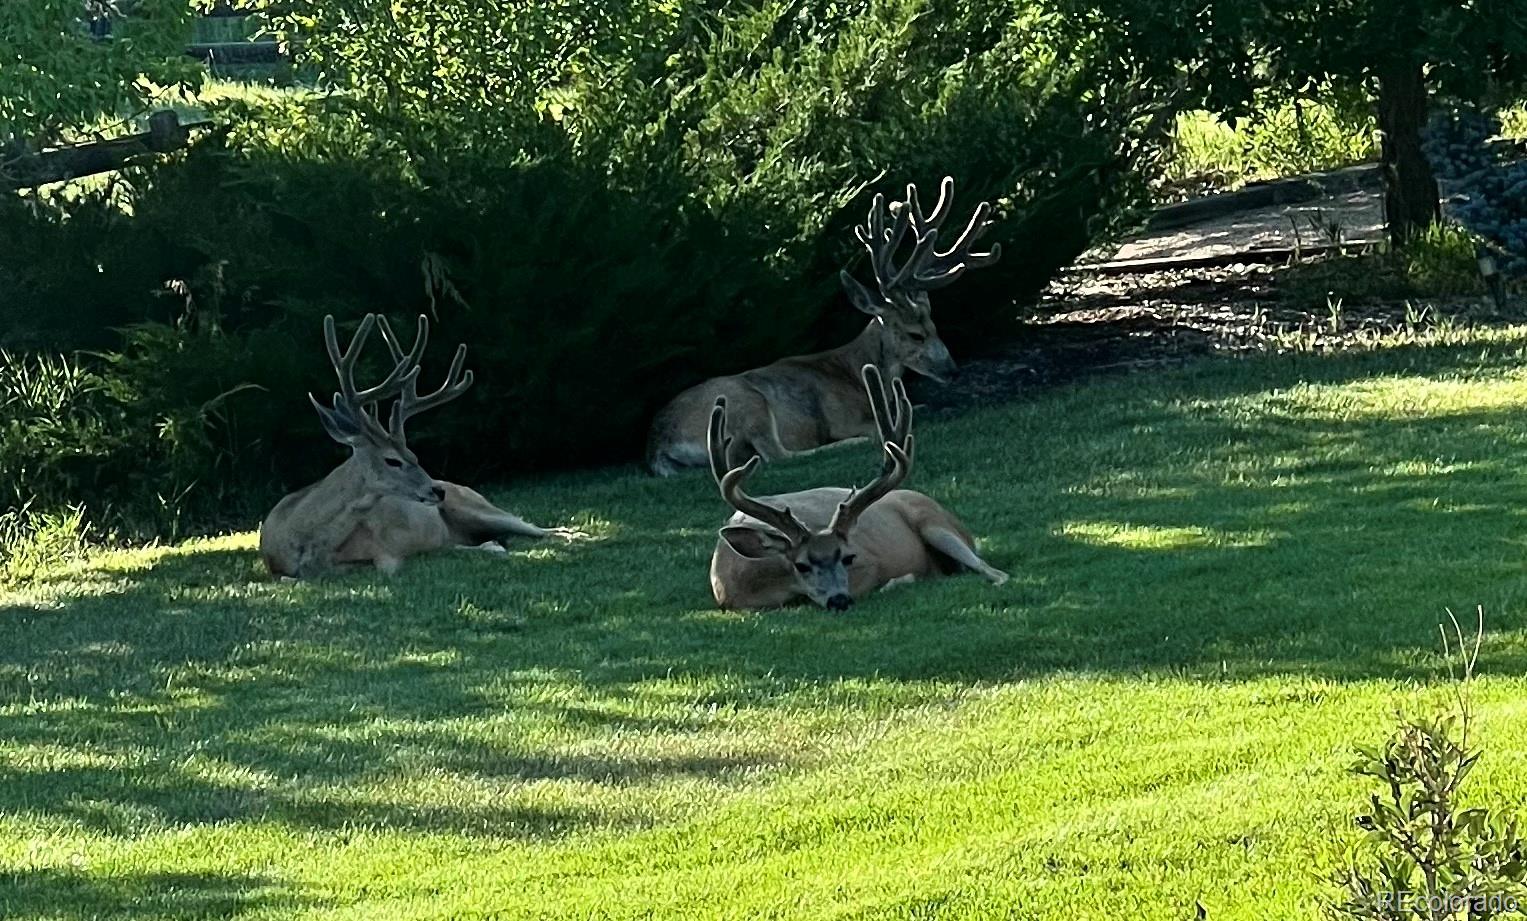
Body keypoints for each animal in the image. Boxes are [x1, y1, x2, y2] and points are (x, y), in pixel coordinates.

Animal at [259, 313, 574, 580]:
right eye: (392, 460)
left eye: (413, 453)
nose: (437, 490)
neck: (305, 541)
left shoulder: (385, 552)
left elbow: (384, 566)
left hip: (477, 507)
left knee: (543, 529)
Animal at [644, 175, 1001, 476]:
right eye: (916, 334)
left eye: (935, 327)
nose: (952, 370)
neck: (857, 373)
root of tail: (659, 443)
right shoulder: (845, 417)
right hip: (744, 403)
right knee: (776, 455)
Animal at [708, 361, 1007, 614]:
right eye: (801, 565)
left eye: (849, 557)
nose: (839, 600)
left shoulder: (872, 564)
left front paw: (901, 580)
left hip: (934, 522)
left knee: (991, 570)